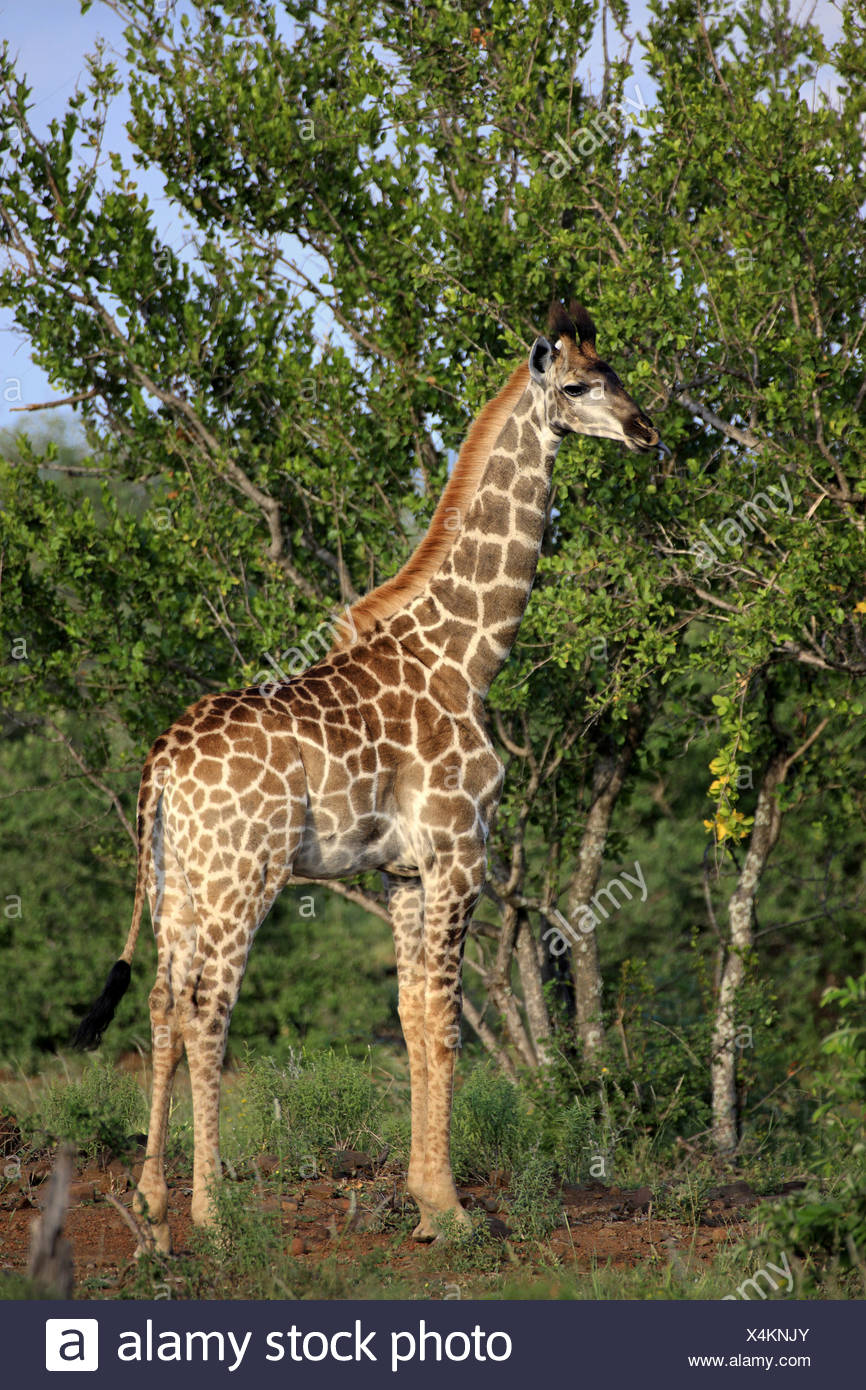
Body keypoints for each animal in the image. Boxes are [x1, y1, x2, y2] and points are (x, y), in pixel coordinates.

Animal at [76, 300, 659, 1252]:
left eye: (617, 371)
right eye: (578, 385)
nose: (647, 432)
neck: (469, 655)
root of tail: (160, 765)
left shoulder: (406, 870)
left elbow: (415, 1019)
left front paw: (425, 1202)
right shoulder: (459, 852)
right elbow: (448, 1027)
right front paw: (454, 1211)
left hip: (176, 880)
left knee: (161, 1003)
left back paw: (154, 1201)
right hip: (245, 874)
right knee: (206, 1010)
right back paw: (214, 1212)